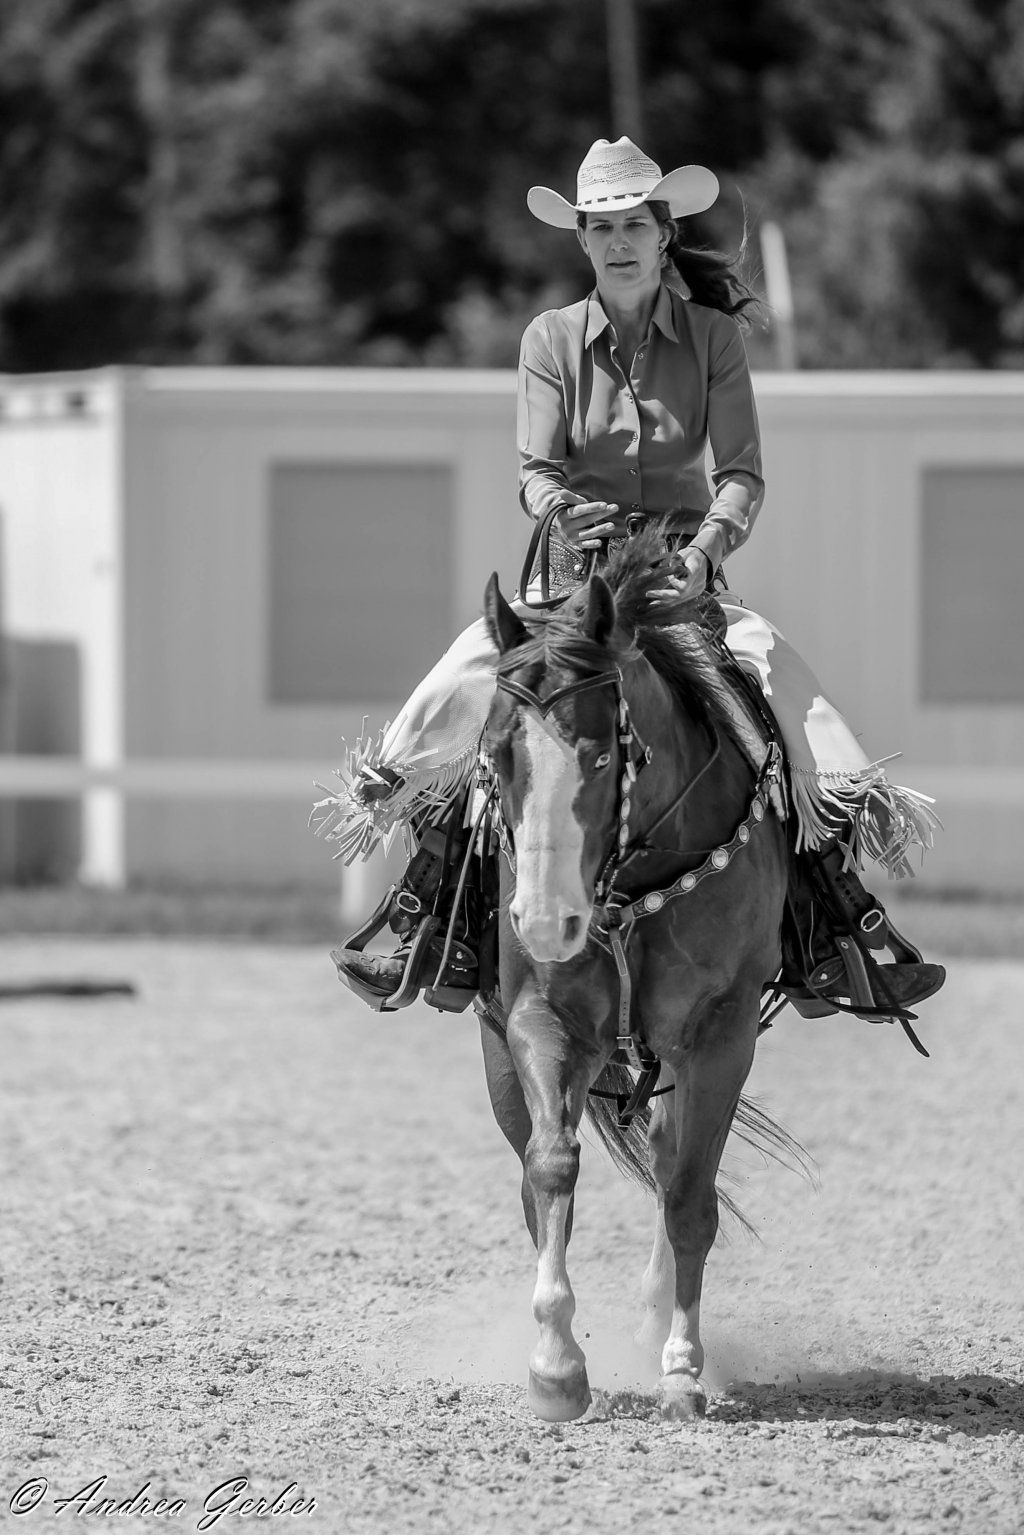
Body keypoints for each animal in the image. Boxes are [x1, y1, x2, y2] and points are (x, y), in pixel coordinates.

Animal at [475, 529, 794, 1423]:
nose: (545, 921)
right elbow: (552, 1163)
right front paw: (555, 1364)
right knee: (536, 1172)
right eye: (497, 753)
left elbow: (688, 1196)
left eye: (603, 753)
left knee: (672, 1163)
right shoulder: (537, 1019)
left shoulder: (719, 1037)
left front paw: (681, 1369)